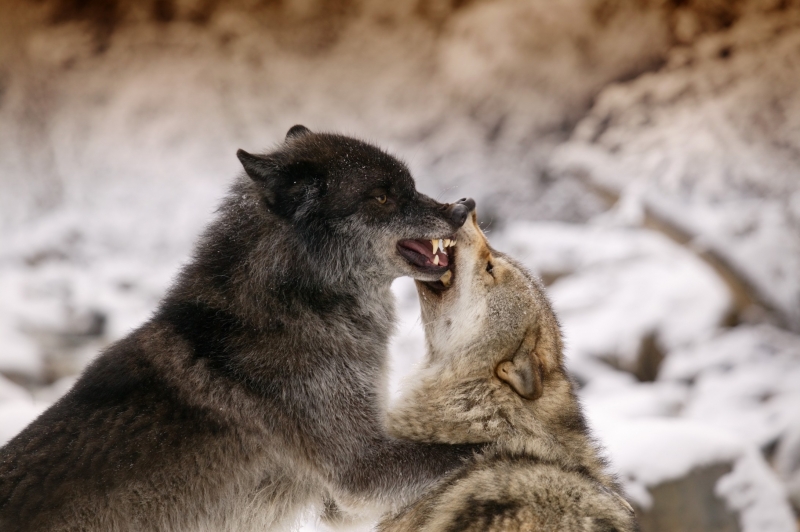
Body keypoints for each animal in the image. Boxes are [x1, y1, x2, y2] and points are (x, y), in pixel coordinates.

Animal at [0, 125, 476, 532]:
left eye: (412, 186)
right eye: (380, 197)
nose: (464, 207)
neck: (296, 305)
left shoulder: (339, 503)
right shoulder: (361, 469)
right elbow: (471, 449)